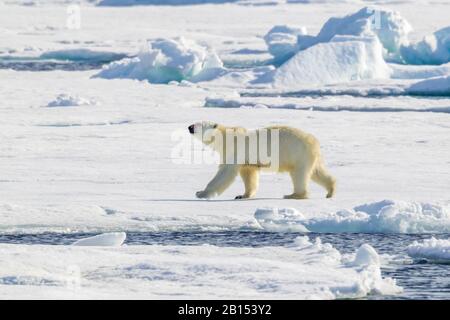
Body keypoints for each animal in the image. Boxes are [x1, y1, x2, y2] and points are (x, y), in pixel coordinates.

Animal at [188, 122, 336, 200]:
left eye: (199, 124)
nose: (189, 127)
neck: (225, 137)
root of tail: (314, 141)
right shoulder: (247, 160)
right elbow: (249, 174)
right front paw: (242, 195)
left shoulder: (235, 151)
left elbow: (224, 173)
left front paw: (201, 193)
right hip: (309, 156)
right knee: (317, 172)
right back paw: (330, 190)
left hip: (297, 153)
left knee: (299, 175)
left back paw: (293, 195)